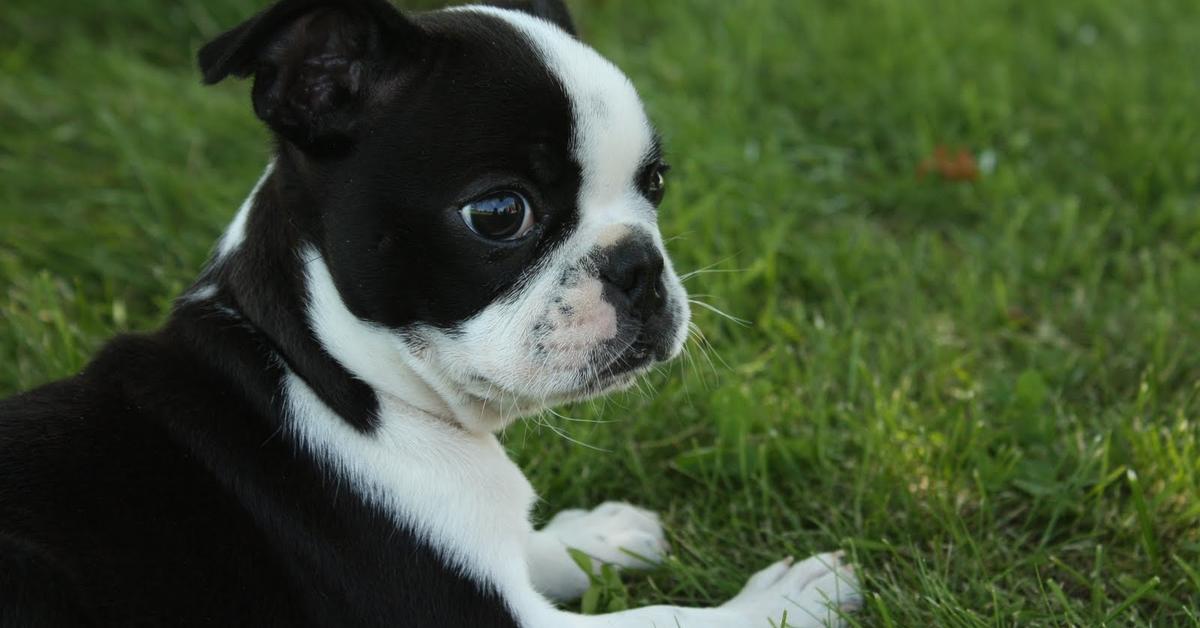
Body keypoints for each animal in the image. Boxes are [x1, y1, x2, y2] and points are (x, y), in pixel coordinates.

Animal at [0, 0, 864, 624]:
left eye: (654, 184)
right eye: (499, 213)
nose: (640, 267)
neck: (334, 379)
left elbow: (525, 544)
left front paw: (597, 533)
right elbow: (666, 619)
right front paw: (788, 599)